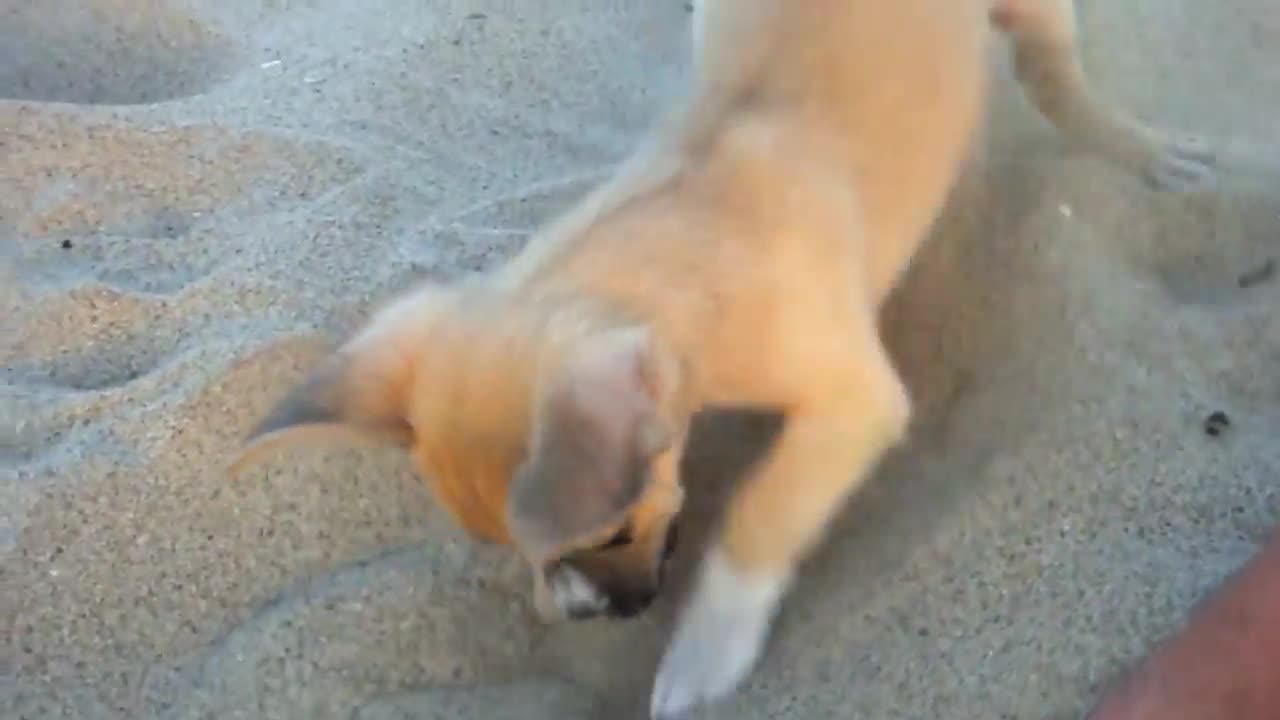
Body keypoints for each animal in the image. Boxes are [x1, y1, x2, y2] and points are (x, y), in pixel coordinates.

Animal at [227, 0, 1208, 712]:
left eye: (610, 533)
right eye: (507, 546)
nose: (583, 616)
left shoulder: (854, 403)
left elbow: (759, 512)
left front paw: (706, 652)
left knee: (1053, 71)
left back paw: (1137, 149)